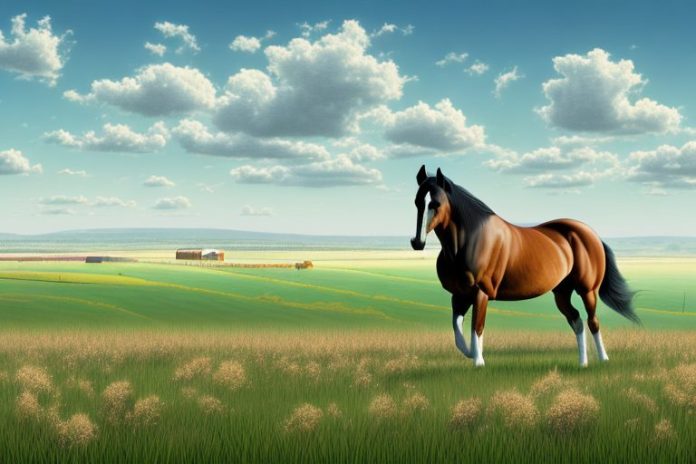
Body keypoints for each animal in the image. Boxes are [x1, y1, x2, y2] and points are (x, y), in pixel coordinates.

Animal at [410, 165, 639, 367]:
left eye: (436, 204)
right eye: (418, 202)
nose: (417, 242)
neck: (469, 241)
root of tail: (590, 233)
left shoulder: (480, 293)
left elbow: (477, 327)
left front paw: (479, 361)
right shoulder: (459, 295)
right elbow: (458, 332)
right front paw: (471, 353)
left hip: (587, 290)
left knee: (593, 321)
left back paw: (603, 359)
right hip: (561, 292)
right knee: (577, 321)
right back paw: (582, 363)